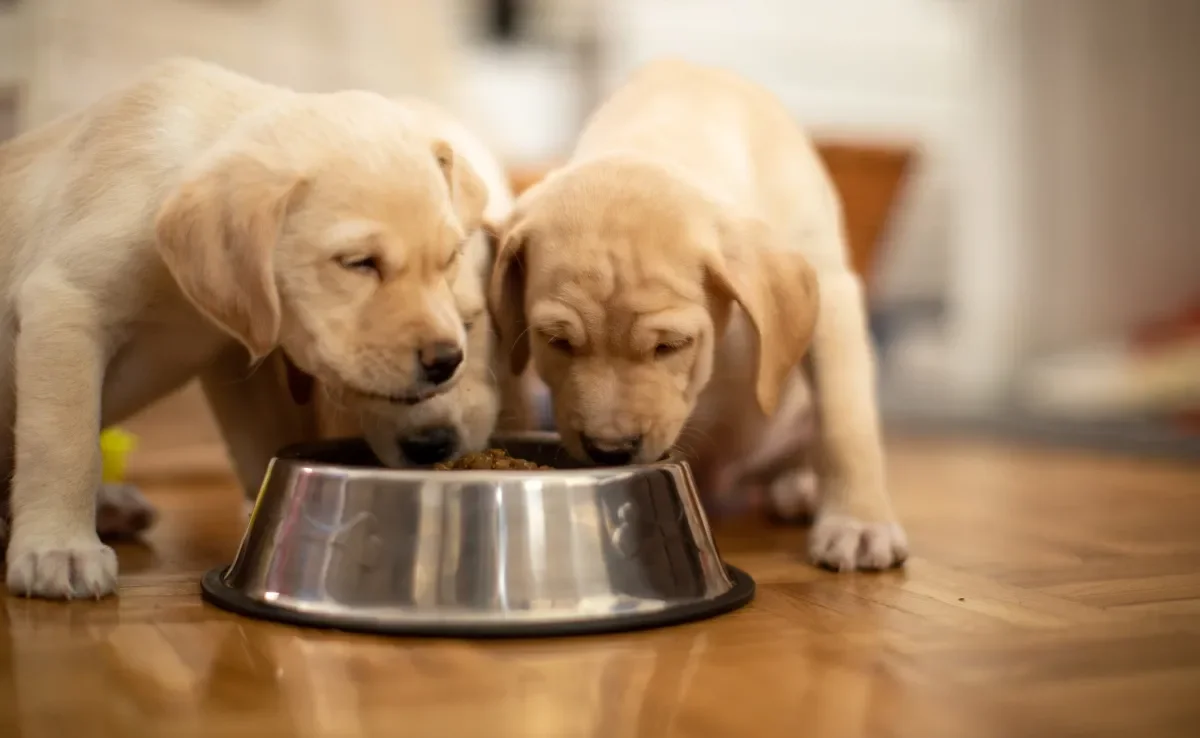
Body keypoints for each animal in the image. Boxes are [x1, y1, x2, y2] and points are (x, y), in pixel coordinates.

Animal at [2, 59, 487, 600]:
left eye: (449, 258)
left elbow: (263, 442)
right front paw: (58, 548)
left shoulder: (236, 355)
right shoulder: (66, 303)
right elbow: (64, 442)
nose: (447, 360)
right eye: (359, 263)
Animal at [492, 60, 902, 573]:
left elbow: (846, 421)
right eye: (557, 341)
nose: (610, 450)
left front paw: (859, 522)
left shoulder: (829, 289)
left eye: (671, 345)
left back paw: (800, 486)